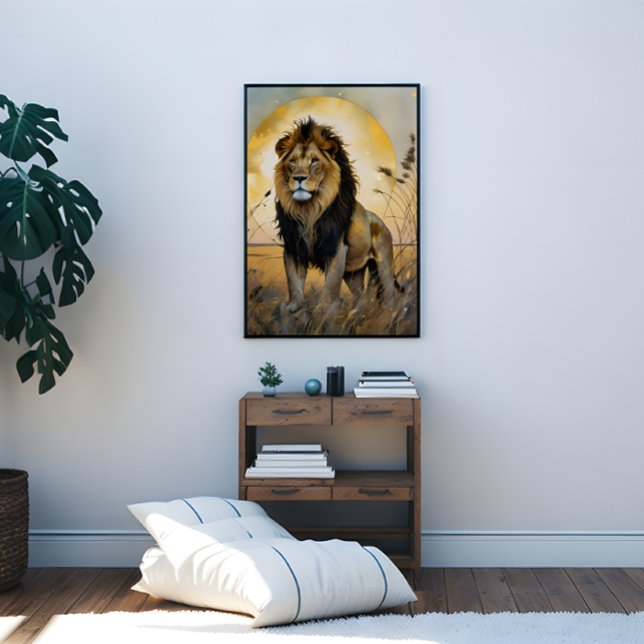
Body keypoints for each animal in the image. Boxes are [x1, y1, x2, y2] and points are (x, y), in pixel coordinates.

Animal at [273, 117, 400, 316]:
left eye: (314, 161)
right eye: (292, 161)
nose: (299, 178)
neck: (308, 210)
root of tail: (381, 222)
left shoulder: (337, 247)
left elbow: (331, 283)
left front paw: (324, 308)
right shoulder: (293, 247)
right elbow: (293, 280)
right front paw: (294, 305)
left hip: (384, 265)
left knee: (388, 292)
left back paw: (388, 311)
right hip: (353, 272)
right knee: (361, 295)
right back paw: (356, 312)